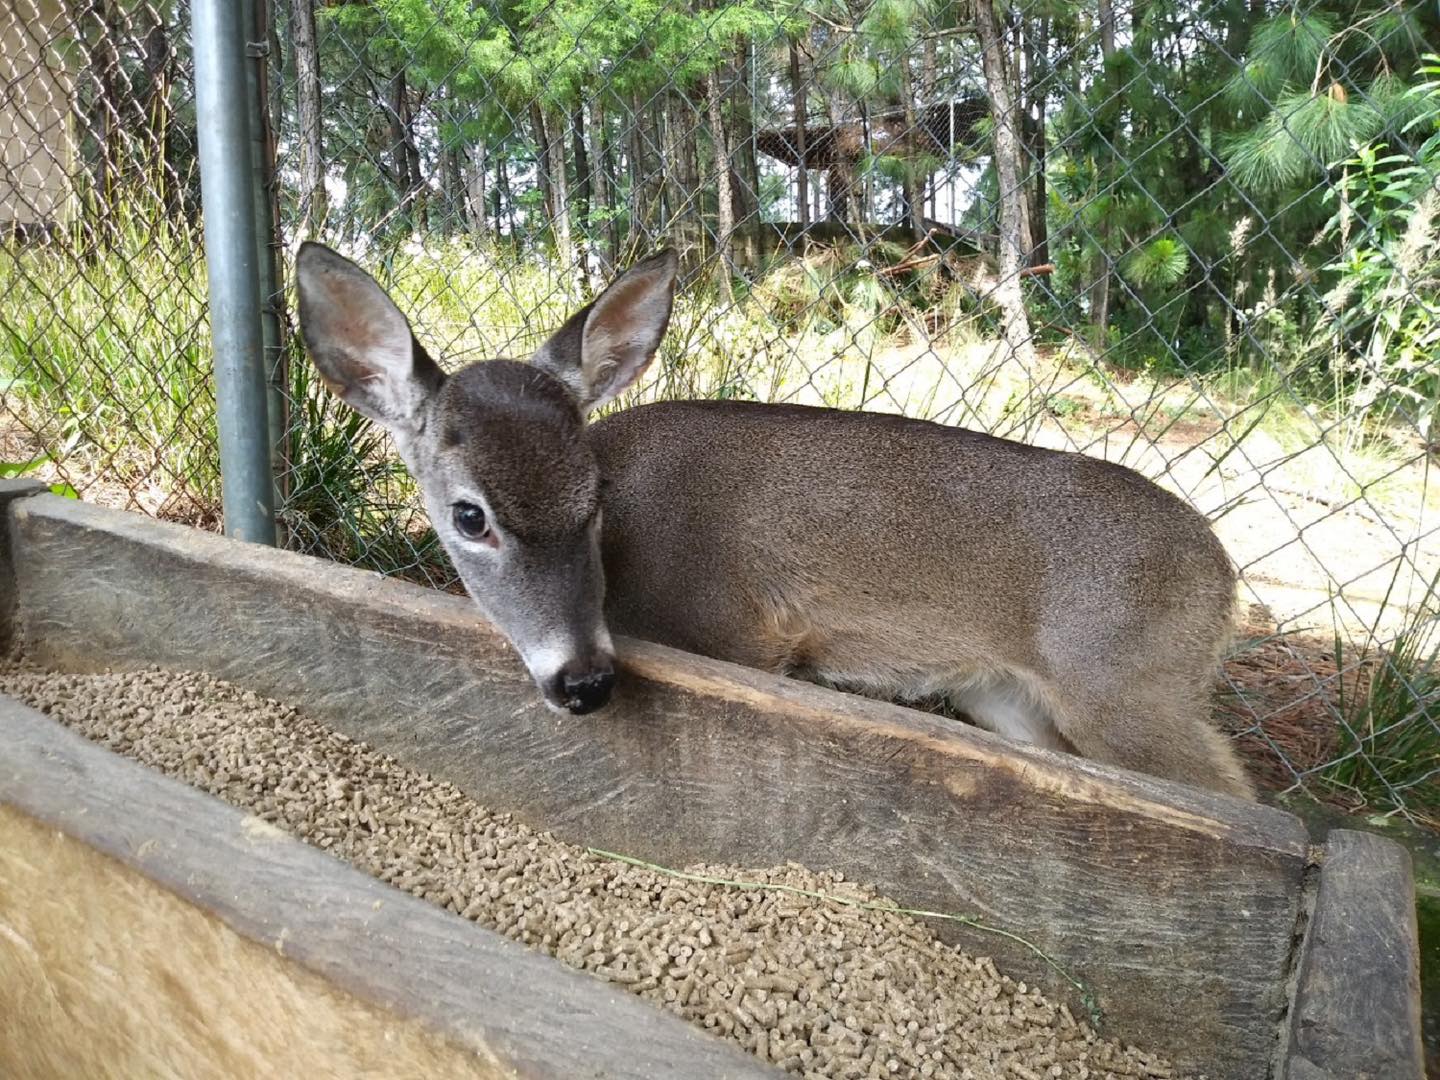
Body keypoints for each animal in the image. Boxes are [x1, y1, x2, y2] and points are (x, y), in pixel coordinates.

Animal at [298, 244, 1255, 806]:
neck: (626, 589)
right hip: (1008, 695)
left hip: (1128, 687)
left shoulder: (747, 633)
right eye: (470, 516)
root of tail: (1225, 578)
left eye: (594, 497)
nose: (584, 684)